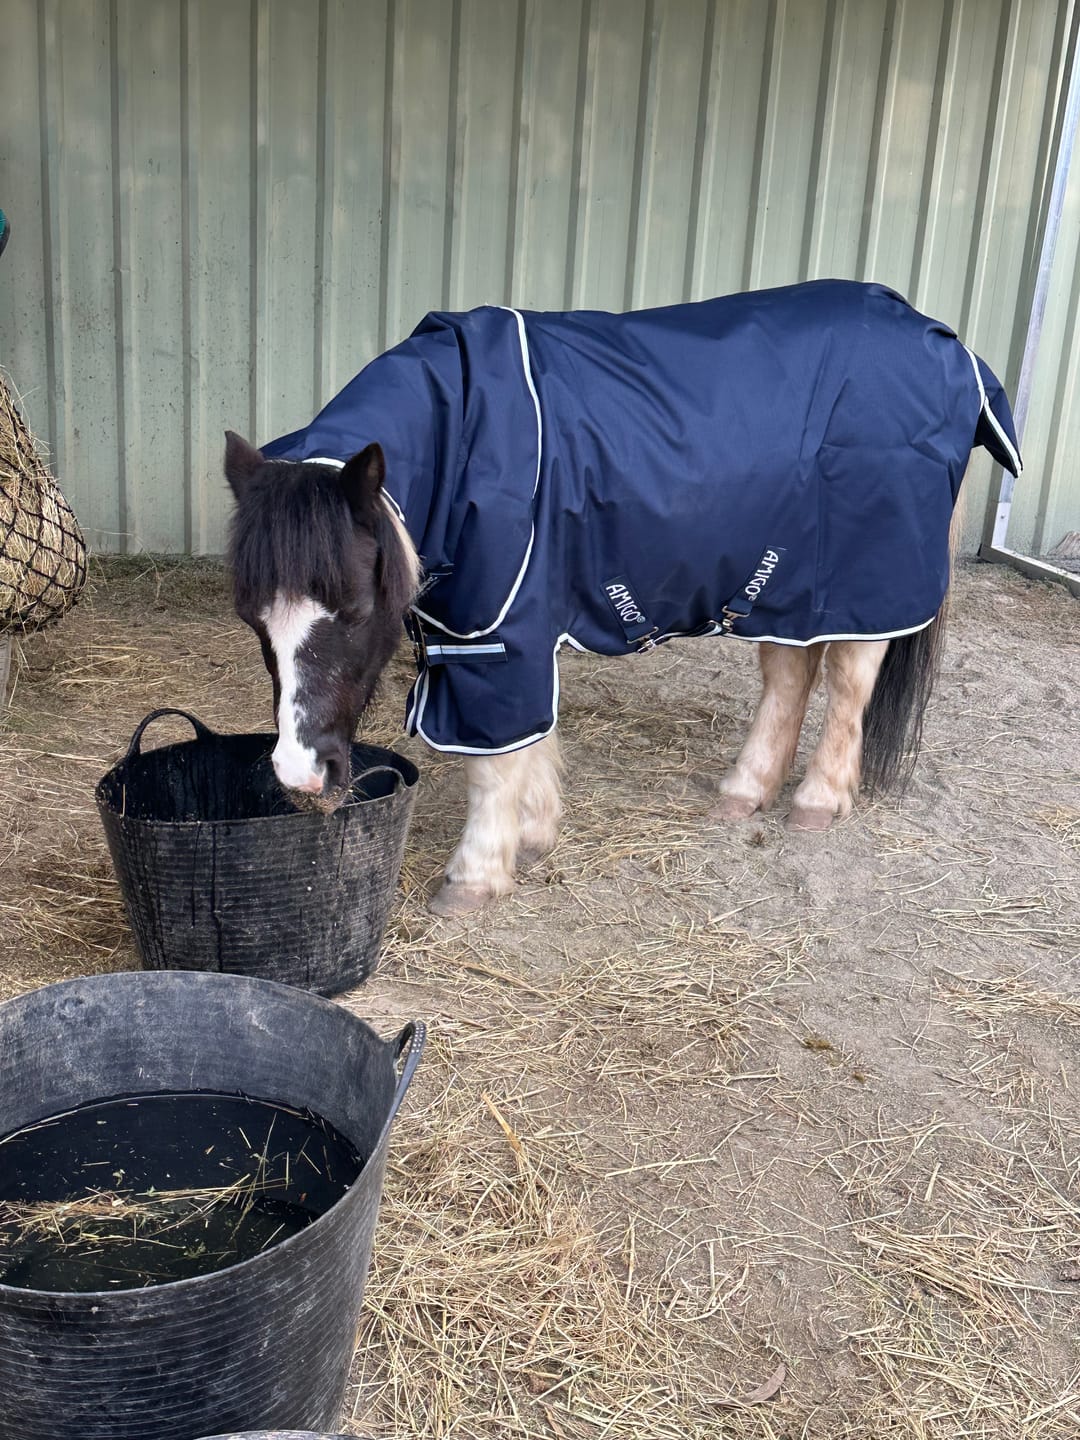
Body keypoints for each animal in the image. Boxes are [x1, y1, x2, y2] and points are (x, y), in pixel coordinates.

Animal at [225, 280, 1020, 915]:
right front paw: (535, 832)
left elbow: (494, 760)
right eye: (253, 620)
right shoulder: (500, 630)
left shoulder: (498, 636)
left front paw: (476, 874)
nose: (299, 775)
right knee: (790, 675)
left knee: (852, 681)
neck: (467, 437)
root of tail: (945, 345)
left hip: (863, 585)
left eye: (357, 612)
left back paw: (818, 800)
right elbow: (529, 740)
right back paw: (745, 789)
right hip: (788, 589)